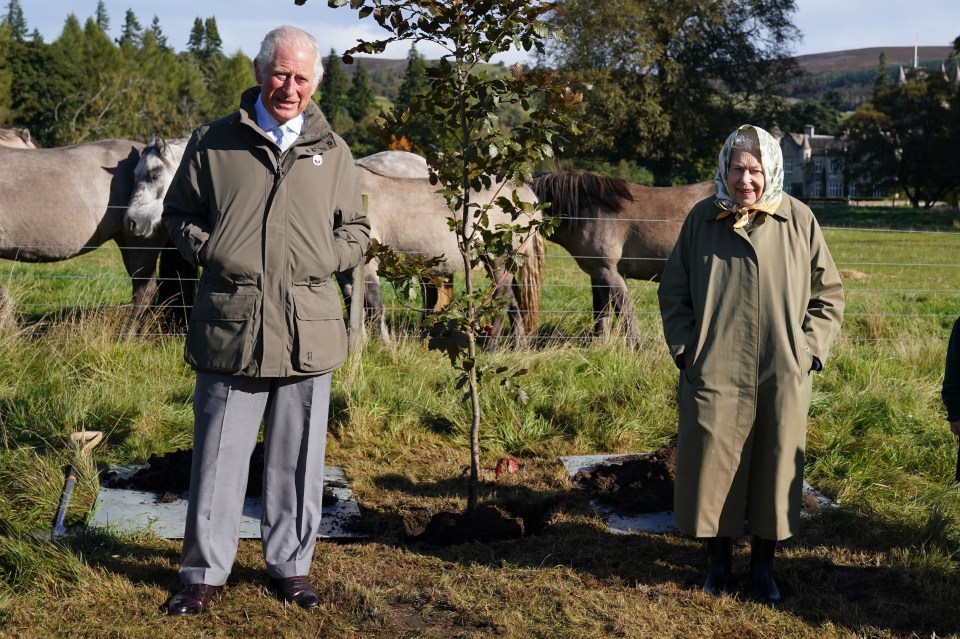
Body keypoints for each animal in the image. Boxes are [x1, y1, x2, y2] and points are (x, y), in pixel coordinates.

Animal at [122, 141, 540, 350]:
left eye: (154, 174)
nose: (132, 222)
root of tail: (525, 192)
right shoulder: (342, 270)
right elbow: (352, 304)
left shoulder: (367, 264)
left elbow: (372, 306)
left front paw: (381, 349)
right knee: (515, 304)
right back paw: (515, 348)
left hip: (499, 258)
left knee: (503, 299)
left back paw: (492, 347)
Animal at [532, 168, 712, 342]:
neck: (587, 212)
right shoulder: (598, 275)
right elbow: (601, 314)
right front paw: (600, 346)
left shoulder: (610, 272)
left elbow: (624, 313)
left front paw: (636, 347)